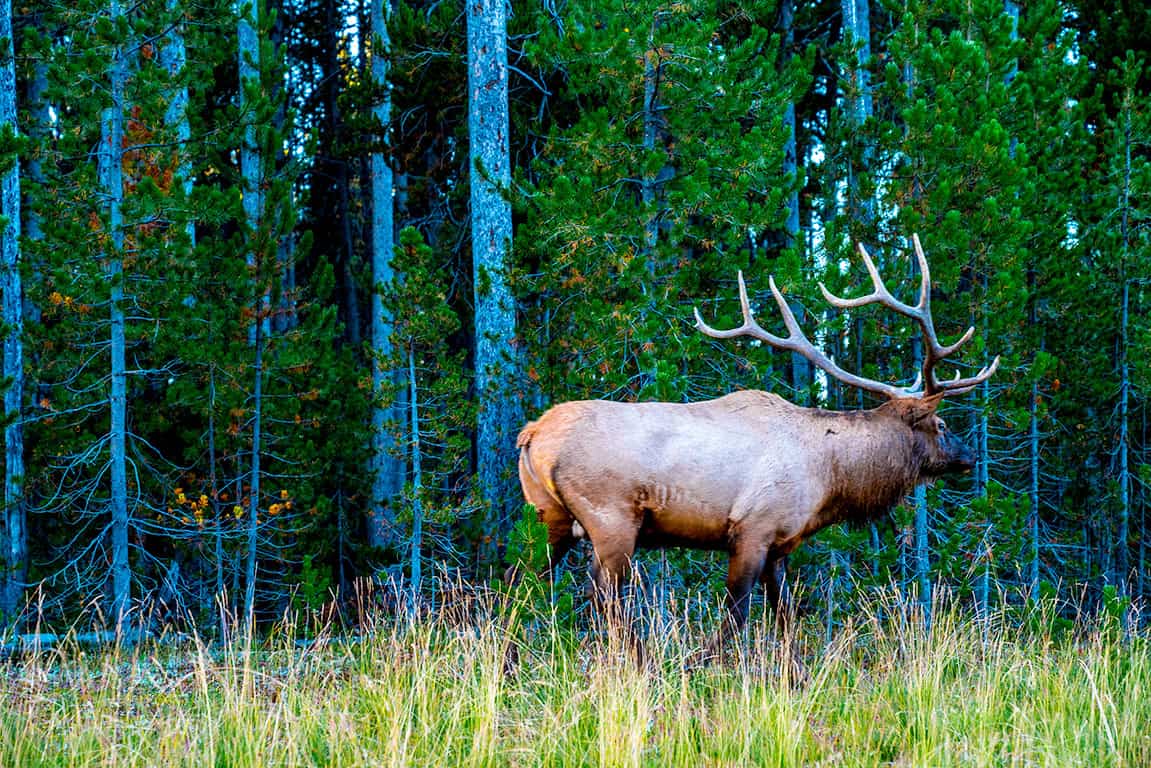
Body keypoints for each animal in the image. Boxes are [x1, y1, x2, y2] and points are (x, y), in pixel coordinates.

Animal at [515, 234, 999, 649]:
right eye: (941, 425)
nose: (969, 456)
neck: (830, 479)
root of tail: (532, 434)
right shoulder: (754, 529)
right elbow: (737, 614)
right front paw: (698, 667)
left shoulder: (780, 546)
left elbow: (785, 616)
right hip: (611, 518)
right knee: (604, 599)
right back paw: (641, 665)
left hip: (550, 518)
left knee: (519, 585)